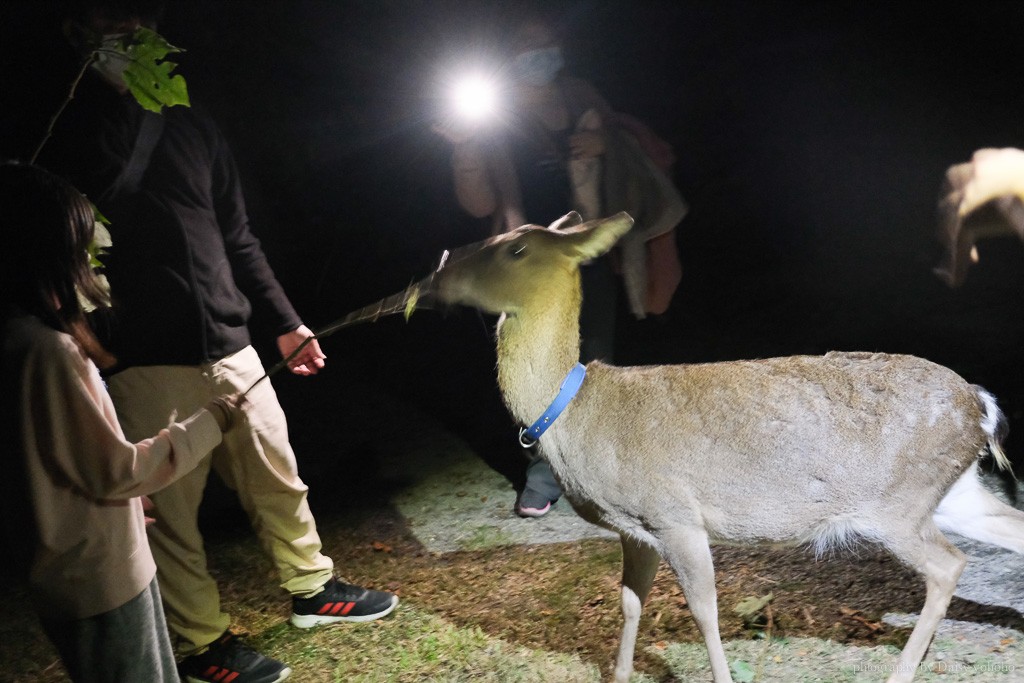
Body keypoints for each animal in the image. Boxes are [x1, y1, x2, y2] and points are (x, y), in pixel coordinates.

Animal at [428, 210, 1024, 679]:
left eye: (516, 247)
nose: (439, 268)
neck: (575, 415)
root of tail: (980, 404)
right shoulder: (636, 528)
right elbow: (629, 603)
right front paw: (618, 674)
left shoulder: (675, 514)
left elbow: (704, 609)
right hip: (948, 492)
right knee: (1010, 529)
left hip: (897, 503)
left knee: (948, 566)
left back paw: (902, 670)